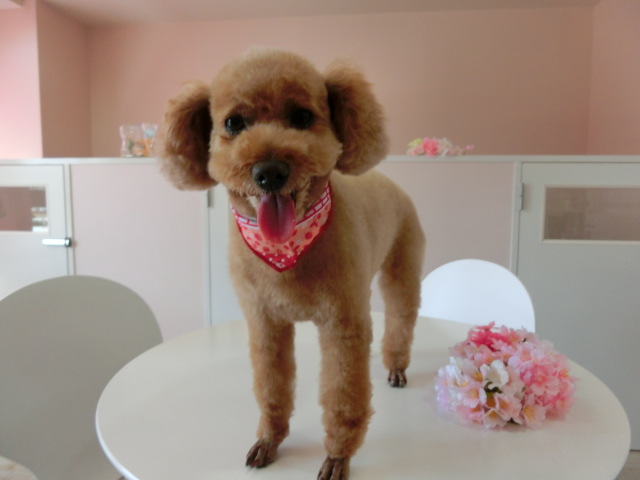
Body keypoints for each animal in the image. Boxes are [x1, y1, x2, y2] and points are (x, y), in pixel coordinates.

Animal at [158, 48, 425, 480]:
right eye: (233, 123)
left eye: (302, 117)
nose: (270, 171)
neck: (286, 248)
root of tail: (387, 180)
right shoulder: (265, 322)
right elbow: (271, 386)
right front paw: (270, 439)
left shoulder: (343, 324)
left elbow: (343, 394)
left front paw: (338, 455)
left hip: (402, 269)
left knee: (401, 319)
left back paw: (397, 367)